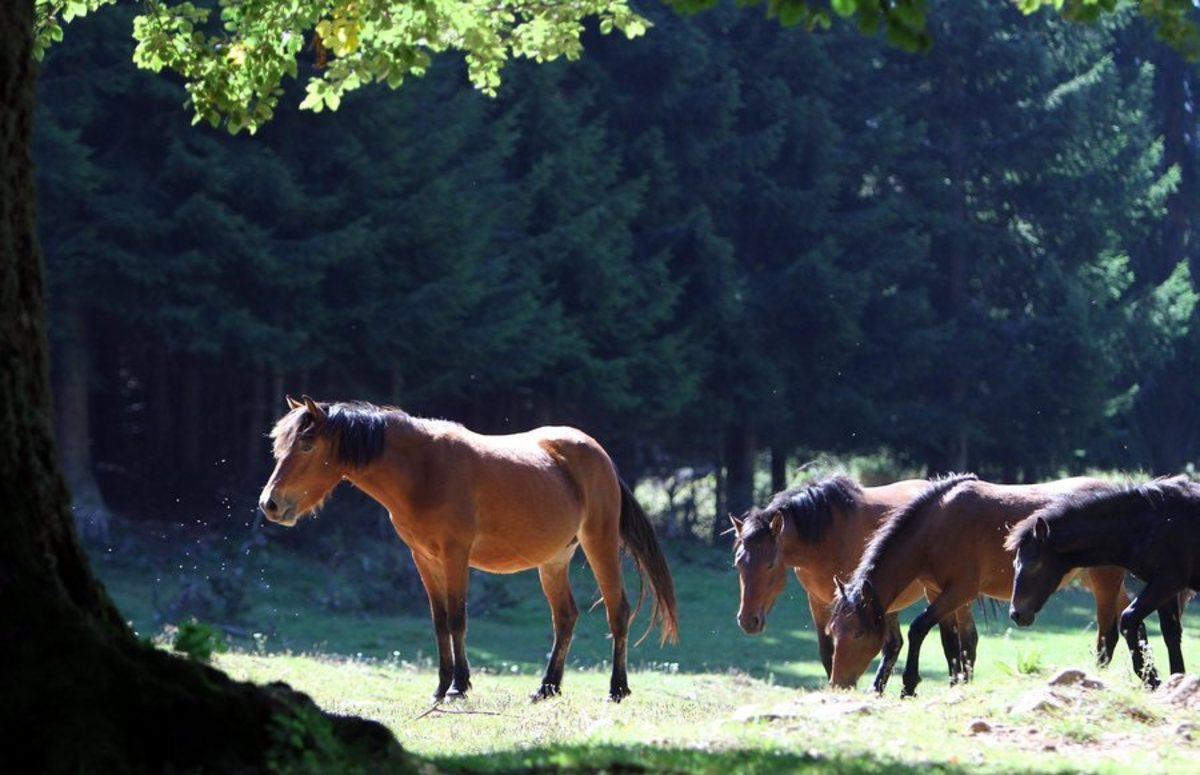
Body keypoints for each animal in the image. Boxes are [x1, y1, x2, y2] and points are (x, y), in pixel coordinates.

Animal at [259, 398, 681, 705]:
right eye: (280, 444)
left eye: (307, 444)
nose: (270, 504)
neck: (423, 470)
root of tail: (601, 456)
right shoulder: (423, 558)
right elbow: (440, 621)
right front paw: (441, 686)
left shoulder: (455, 554)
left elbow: (458, 619)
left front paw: (459, 686)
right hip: (553, 560)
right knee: (565, 617)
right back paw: (547, 688)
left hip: (599, 543)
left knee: (617, 611)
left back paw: (617, 689)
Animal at [729, 477, 974, 695]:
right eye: (738, 562)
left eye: (770, 565)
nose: (748, 621)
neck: (826, 535)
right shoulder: (819, 601)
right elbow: (828, 651)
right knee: (895, 644)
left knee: (967, 638)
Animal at [825, 472, 1152, 700]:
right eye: (833, 632)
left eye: (858, 634)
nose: (837, 684)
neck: (937, 526)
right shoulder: (938, 592)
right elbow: (950, 642)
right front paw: (956, 684)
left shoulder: (961, 591)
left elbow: (919, 628)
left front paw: (909, 685)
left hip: (1103, 580)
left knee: (1107, 636)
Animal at [1008, 479, 1195, 681]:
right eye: (1015, 563)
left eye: (1034, 564)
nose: (1016, 613)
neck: (1151, 525)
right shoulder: (1166, 588)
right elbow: (1171, 633)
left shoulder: (1167, 581)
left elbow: (1128, 619)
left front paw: (1151, 678)